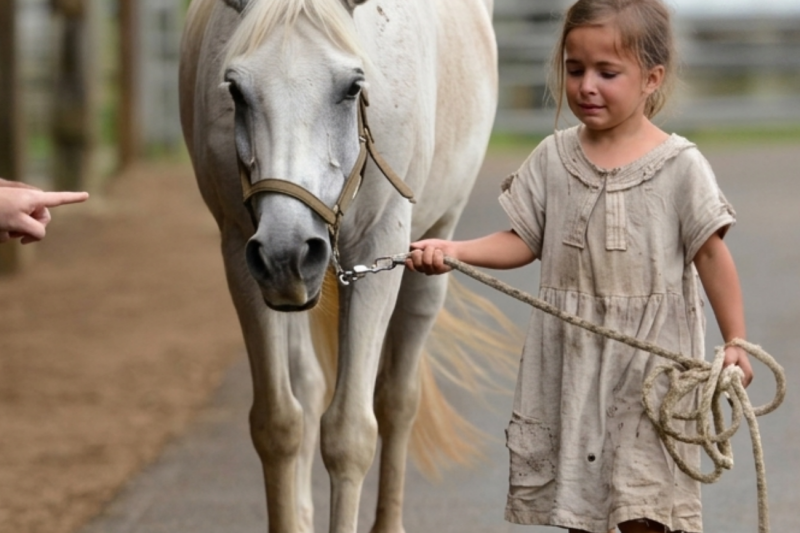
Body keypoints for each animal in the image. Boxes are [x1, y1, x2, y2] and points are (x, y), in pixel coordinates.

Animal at [178, 1, 500, 532]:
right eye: (236, 90)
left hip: (433, 250)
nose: (287, 250)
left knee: (397, 400)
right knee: (310, 387)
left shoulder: (379, 247)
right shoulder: (240, 251)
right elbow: (278, 424)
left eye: (352, 86)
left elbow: (351, 434)